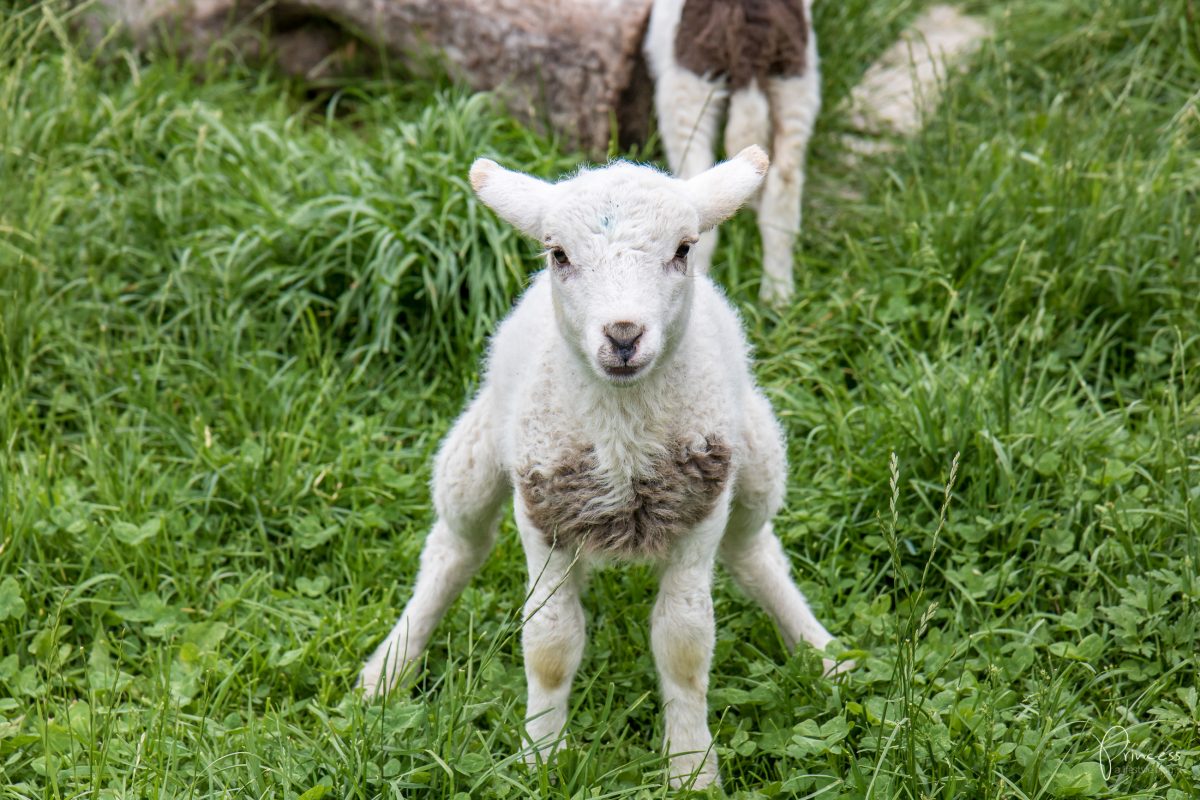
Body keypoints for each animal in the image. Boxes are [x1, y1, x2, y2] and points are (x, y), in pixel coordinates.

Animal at [360, 143, 849, 786]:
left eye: (684, 249)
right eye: (559, 254)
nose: (622, 335)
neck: (622, 443)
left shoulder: (700, 517)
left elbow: (684, 644)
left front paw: (691, 768)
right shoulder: (541, 517)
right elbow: (549, 643)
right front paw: (541, 756)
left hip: (755, 456)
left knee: (754, 552)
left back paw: (822, 654)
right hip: (480, 448)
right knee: (454, 549)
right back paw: (389, 668)